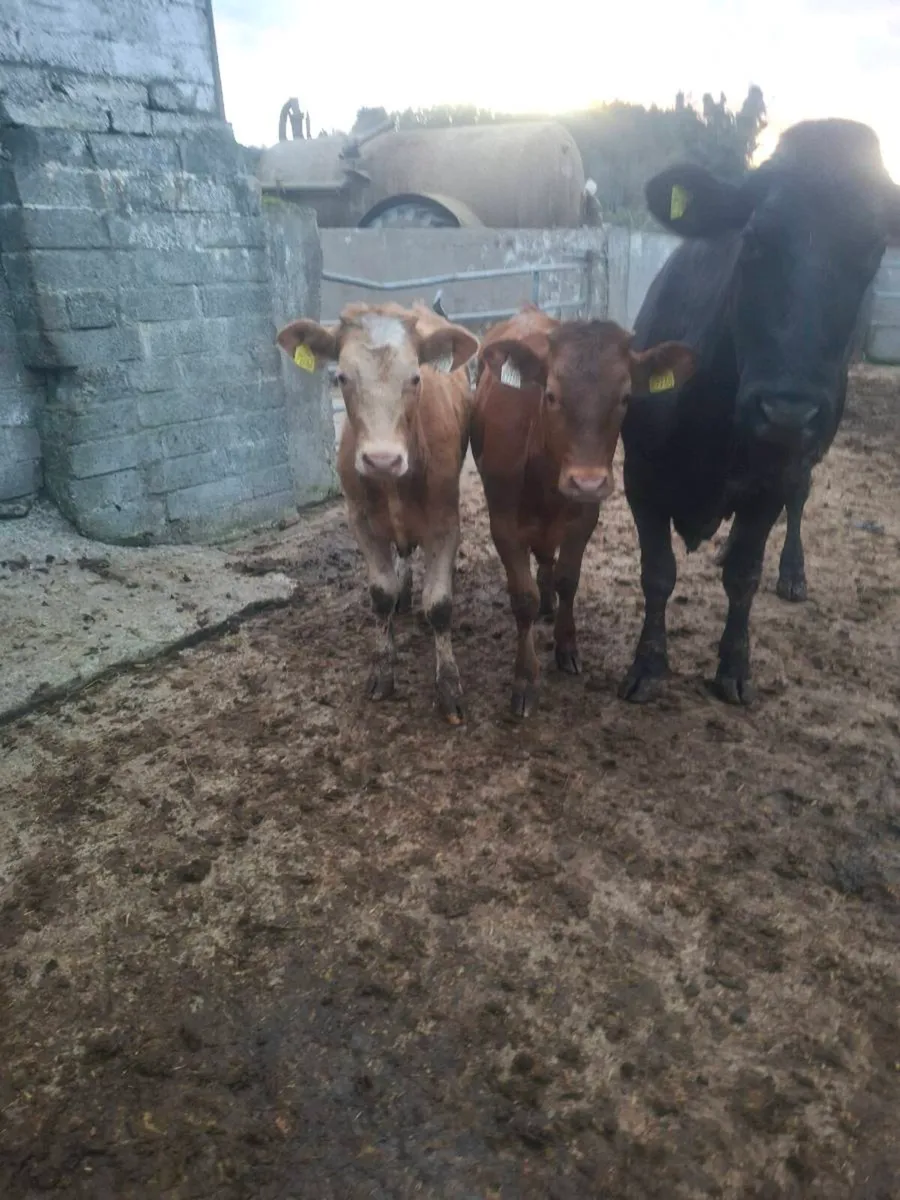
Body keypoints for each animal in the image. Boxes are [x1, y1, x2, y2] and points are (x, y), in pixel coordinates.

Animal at [276, 302, 479, 724]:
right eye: (341, 377)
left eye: (416, 377)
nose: (382, 459)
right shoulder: (361, 523)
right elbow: (381, 595)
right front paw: (383, 672)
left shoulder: (445, 522)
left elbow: (440, 604)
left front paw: (449, 686)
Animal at [473, 306, 696, 717]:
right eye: (551, 394)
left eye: (625, 396)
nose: (588, 482)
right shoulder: (503, 525)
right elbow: (522, 599)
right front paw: (525, 678)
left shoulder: (584, 520)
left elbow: (568, 580)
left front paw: (566, 646)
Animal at [619, 118, 900, 708]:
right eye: (752, 241)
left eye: (870, 251)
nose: (786, 410)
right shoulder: (640, 475)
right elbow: (658, 572)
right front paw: (648, 666)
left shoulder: (773, 478)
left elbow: (745, 577)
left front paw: (734, 667)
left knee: (799, 500)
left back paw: (792, 572)